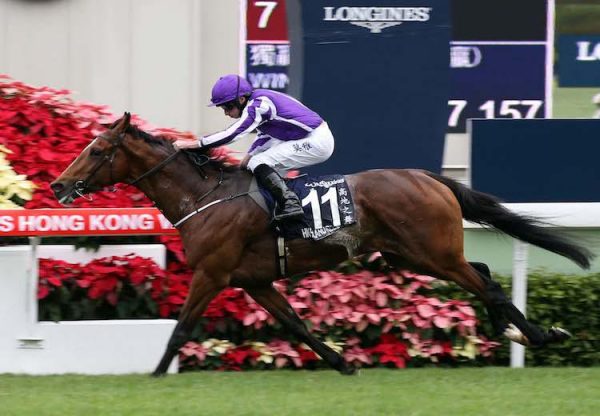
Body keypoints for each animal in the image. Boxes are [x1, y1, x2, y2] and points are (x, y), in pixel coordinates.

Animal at [52, 112, 596, 376]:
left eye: (98, 150)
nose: (59, 186)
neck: (204, 197)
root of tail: (428, 175)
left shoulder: (211, 274)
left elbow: (180, 331)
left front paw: (156, 375)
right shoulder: (254, 280)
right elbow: (297, 326)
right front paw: (342, 364)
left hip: (433, 252)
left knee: (488, 284)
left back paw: (536, 335)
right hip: (415, 254)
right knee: (482, 276)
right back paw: (517, 331)